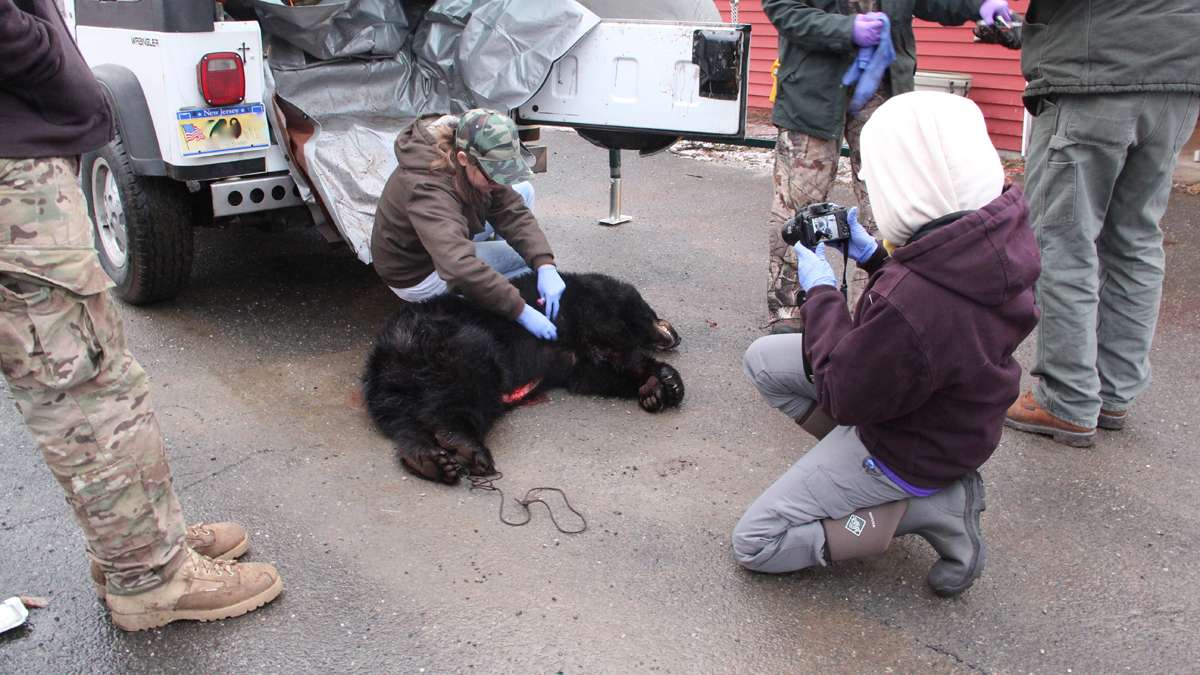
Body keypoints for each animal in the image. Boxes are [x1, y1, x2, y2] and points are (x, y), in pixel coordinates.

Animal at [362, 272, 684, 484]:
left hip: (395, 387)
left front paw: (660, 385)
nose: (676, 335)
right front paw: (660, 379)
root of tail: (390, 344)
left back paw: (427, 459)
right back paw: (461, 441)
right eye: (654, 312)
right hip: (456, 343)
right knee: (467, 388)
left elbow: (603, 370)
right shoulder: (589, 309)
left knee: (404, 419)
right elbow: (611, 350)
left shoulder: (580, 356)